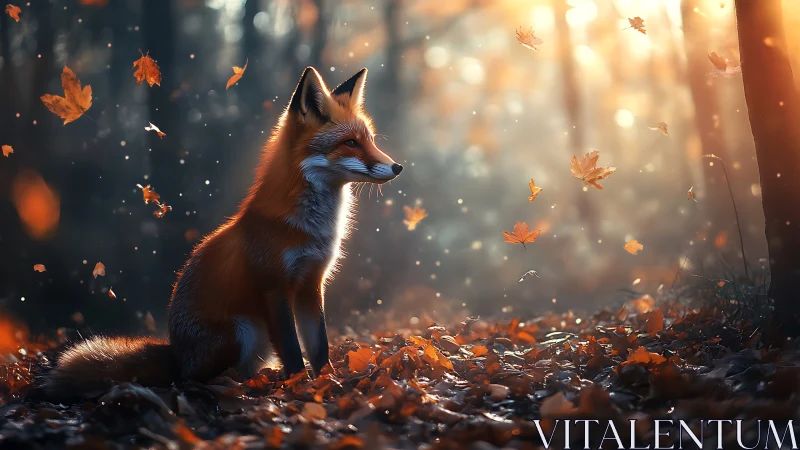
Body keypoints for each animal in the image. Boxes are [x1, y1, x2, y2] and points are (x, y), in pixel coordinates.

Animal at [38, 67, 402, 402]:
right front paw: (300, 388)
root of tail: (176, 353)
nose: (398, 167)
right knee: (197, 380)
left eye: (370, 140)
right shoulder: (274, 287)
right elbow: (293, 351)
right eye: (350, 143)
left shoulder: (312, 285)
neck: (310, 228)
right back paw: (235, 388)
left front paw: (329, 384)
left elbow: (319, 347)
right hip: (244, 331)